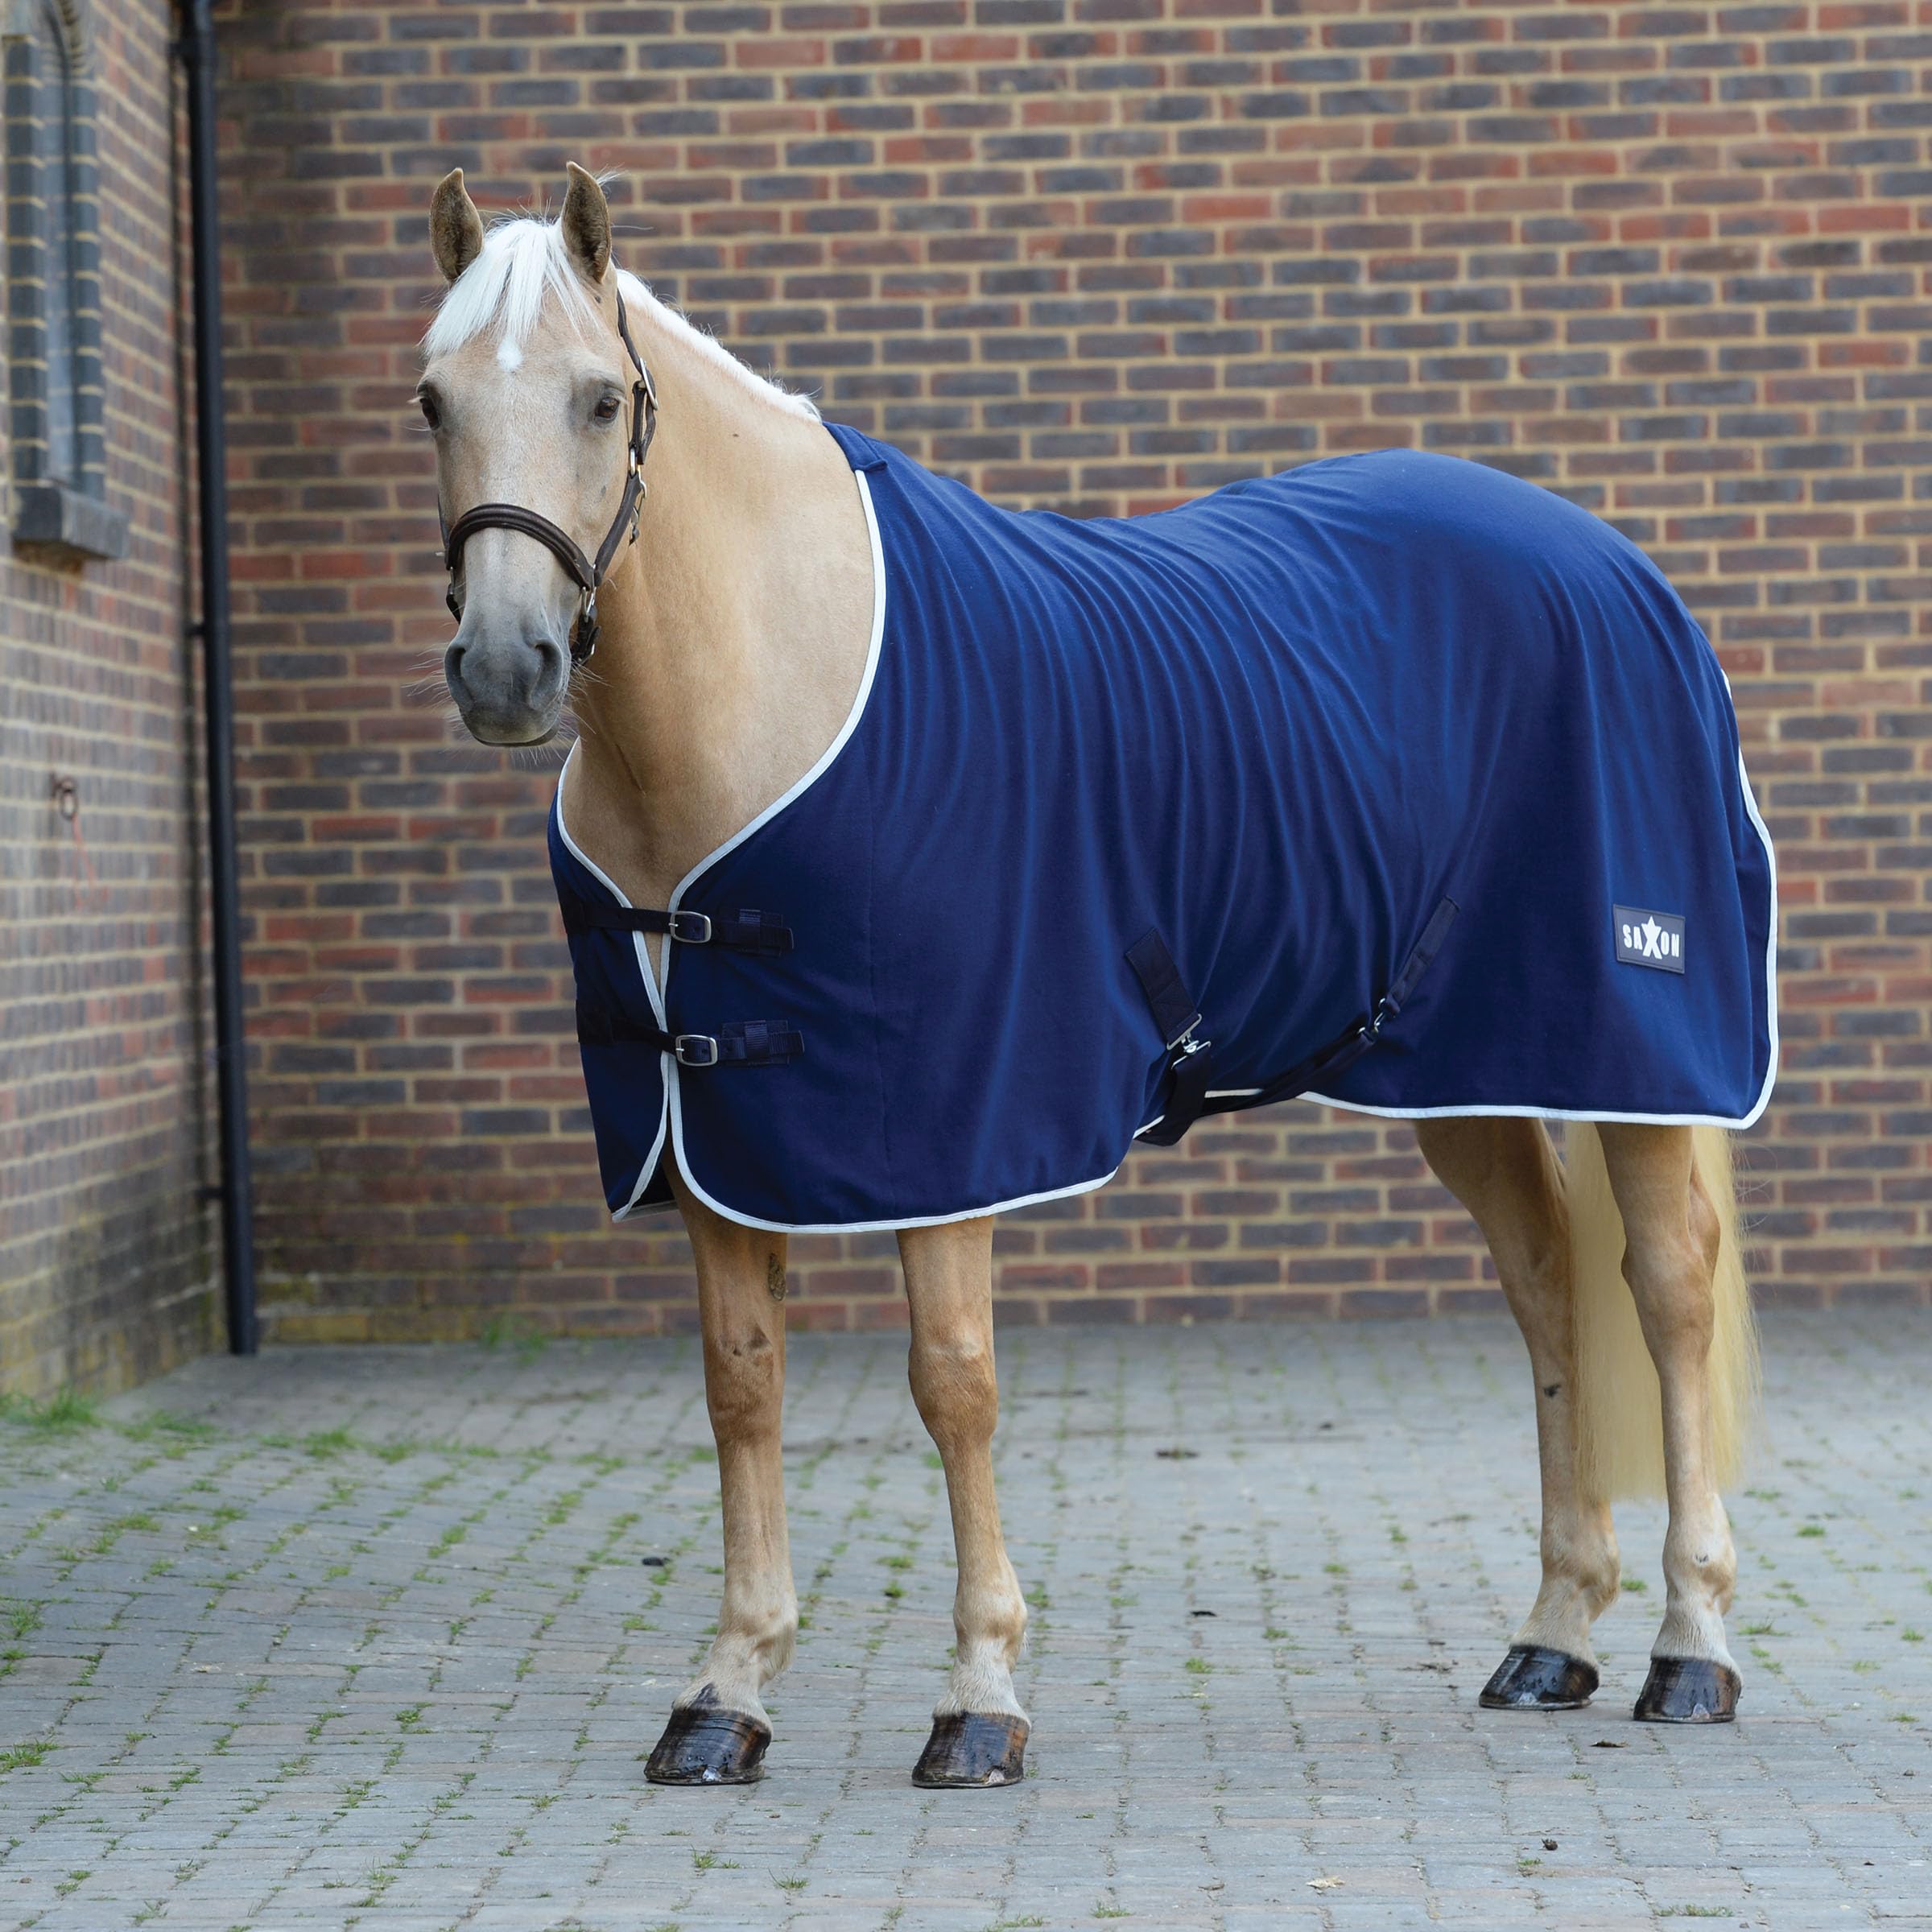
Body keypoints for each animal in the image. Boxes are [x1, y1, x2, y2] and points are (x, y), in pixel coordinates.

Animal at [417, 164, 1770, 1788]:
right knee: (1548, 1288)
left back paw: (1690, 1651)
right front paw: (727, 1695)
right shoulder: (709, 1133)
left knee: (1668, 1290)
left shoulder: (945, 1124)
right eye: (431, 402)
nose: (508, 668)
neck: (776, 691)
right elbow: (741, 1384)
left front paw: (980, 1698)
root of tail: (1624, 571)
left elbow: (954, 1383)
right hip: (1476, 1071)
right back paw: (1554, 1637)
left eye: (603, 398)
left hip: (1637, 1052)